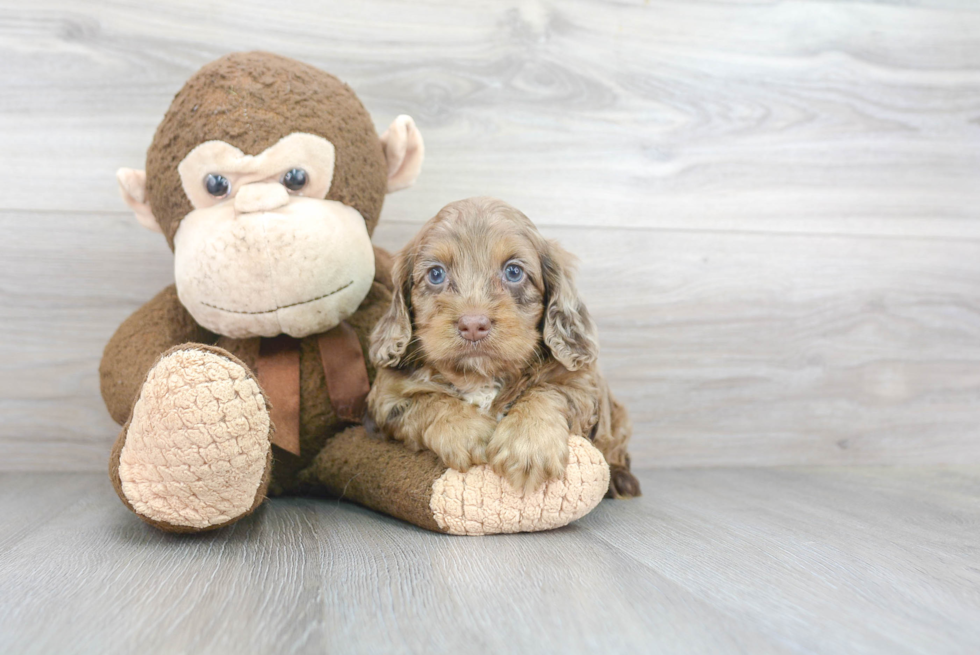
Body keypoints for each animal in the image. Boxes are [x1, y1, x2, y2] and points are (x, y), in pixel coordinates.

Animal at [368, 197, 644, 500]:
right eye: (436, 274)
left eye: (514, 271)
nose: (473, 325)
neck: (481, 377)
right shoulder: (387, 398)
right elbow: (428, 400)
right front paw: (469, 431)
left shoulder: (582, 386)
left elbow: (546, 390)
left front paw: (529, 445)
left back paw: (621, 479)